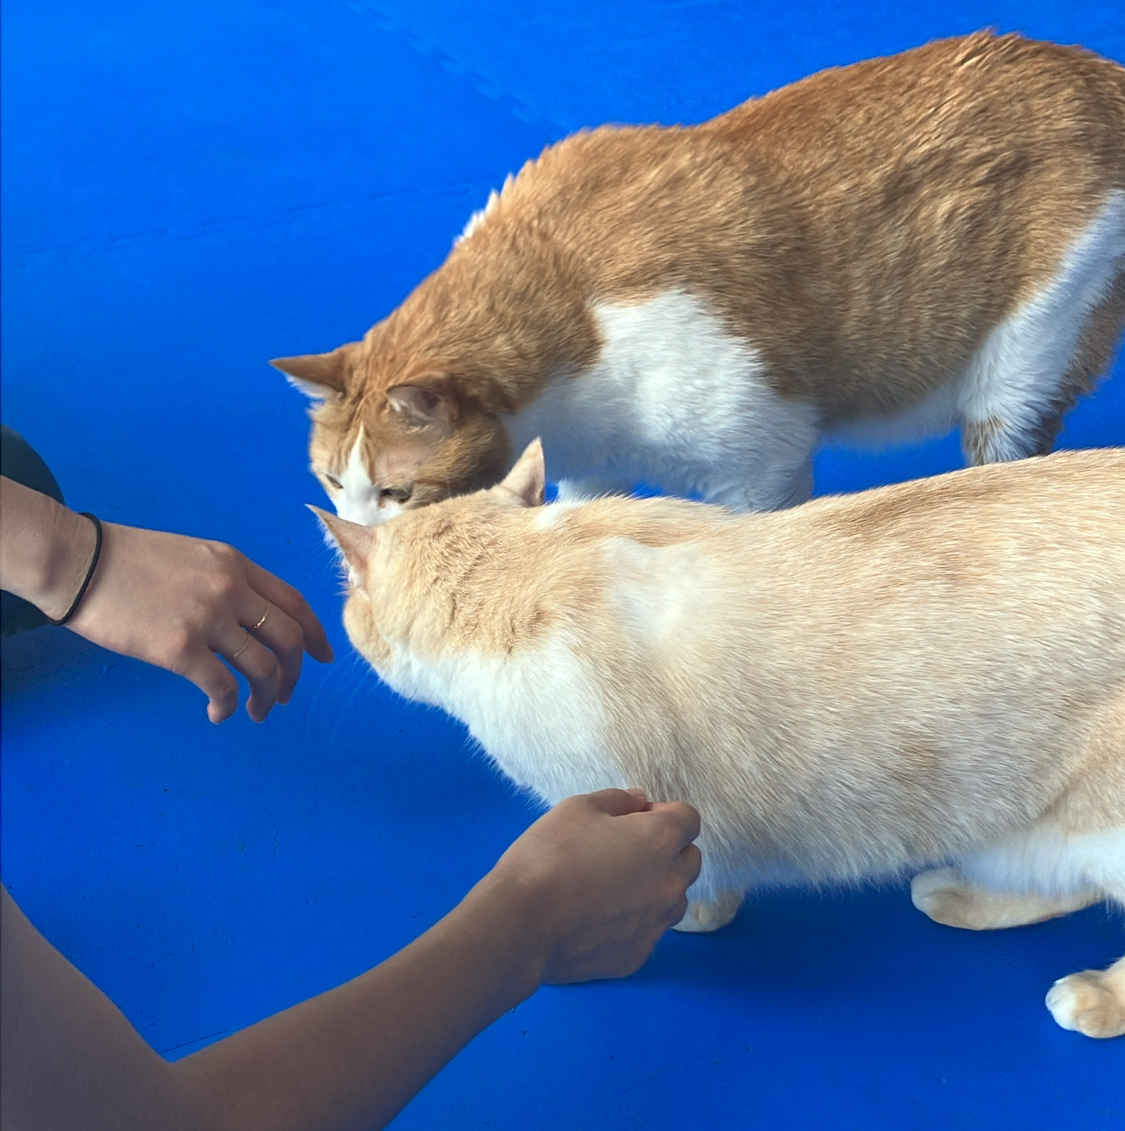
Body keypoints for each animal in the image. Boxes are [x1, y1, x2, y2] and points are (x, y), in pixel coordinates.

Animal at [279, 31, 1124, 525]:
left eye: (398, 492)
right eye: (332, 483)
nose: (351, 540)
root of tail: (1090, 68)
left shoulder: (760, 462)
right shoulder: (589, 473)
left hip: (1017, 371)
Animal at [314, 440, 1125, 1037]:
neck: (532, 565)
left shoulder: (648, 808)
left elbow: (702, 888)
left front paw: (678, 920)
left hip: (1099, 822)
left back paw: (1089, 996)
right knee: (1059, 883)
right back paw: (956, 893)